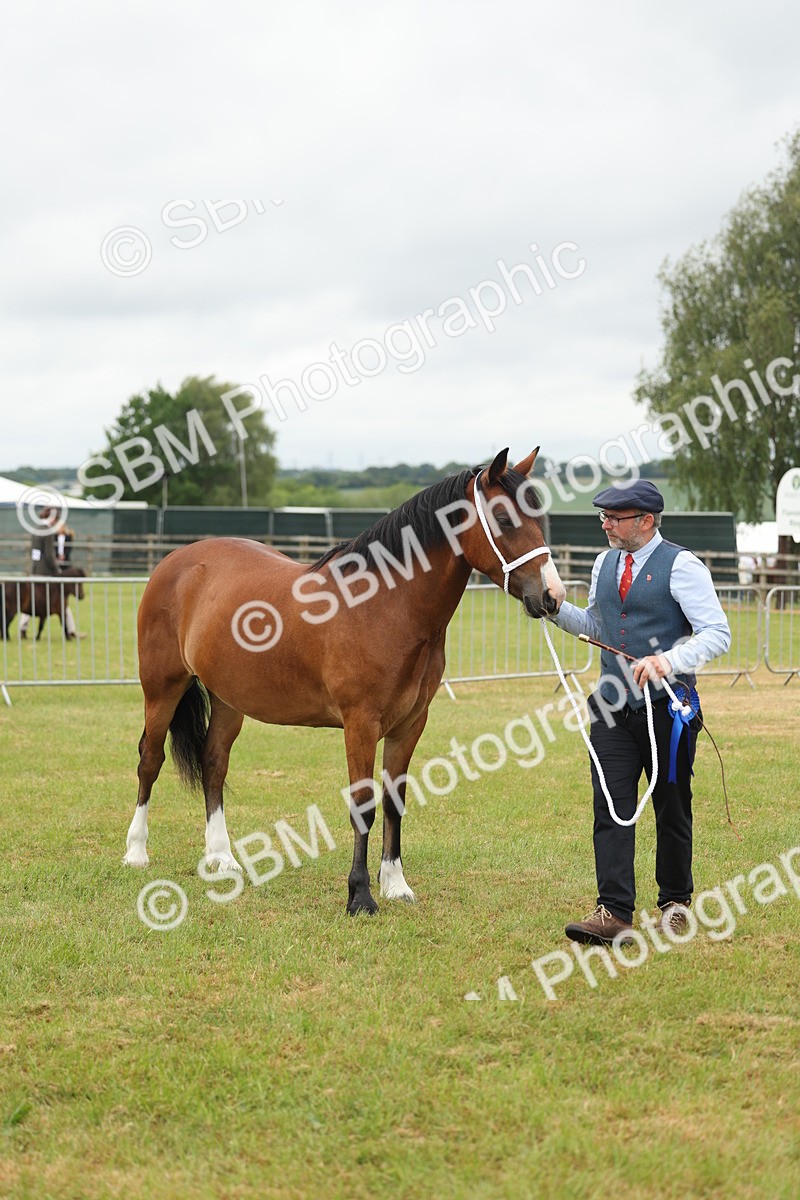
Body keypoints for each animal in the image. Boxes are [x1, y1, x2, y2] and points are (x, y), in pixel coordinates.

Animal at [124, 447, 566, 914]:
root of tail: (176, 561)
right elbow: (363, 805)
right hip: (162, 688)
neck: (385, 605)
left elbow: (393, 803)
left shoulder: (410, 725)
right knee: (150, 759)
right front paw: (360, 896)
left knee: (213, 764)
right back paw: (136, 852)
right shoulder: (360, 724)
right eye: (502, 518)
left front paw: (395, 885)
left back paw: (221, 858)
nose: (553, 597)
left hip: (228, 699)